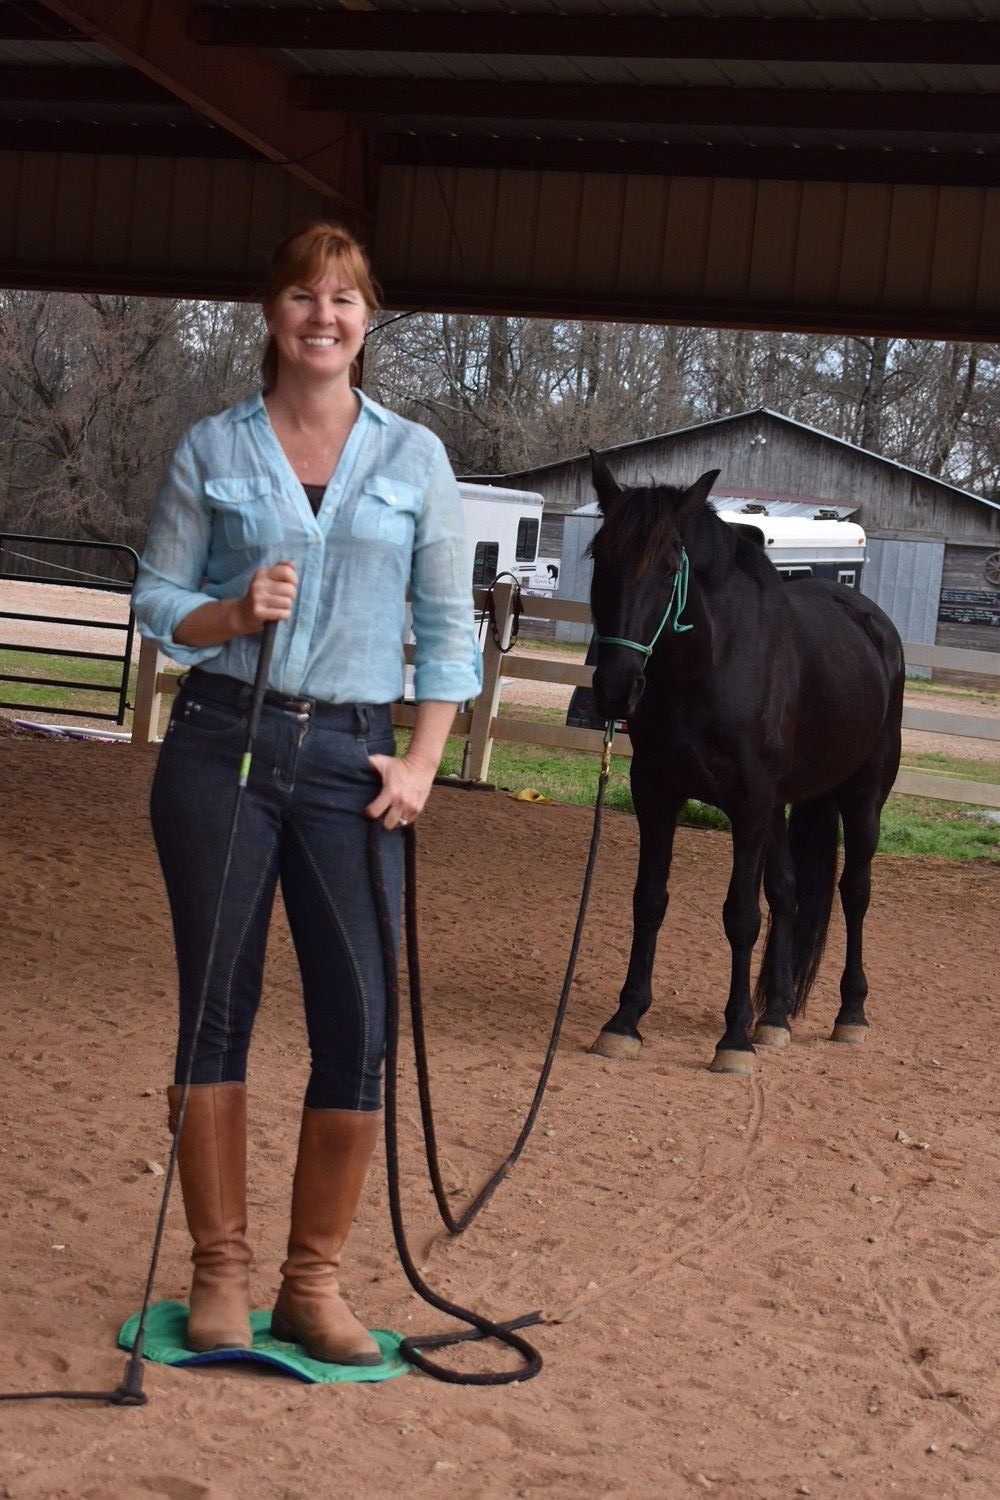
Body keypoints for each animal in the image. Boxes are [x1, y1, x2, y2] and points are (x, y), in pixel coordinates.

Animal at [586, 452, 904, 1075]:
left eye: (670, 569)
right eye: (599, 557)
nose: (614, 688)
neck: (709, 667)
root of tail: (872, 621)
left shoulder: (750, 806)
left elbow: (740, 915)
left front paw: (732, 1039)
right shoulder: (655, 794)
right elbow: (649, 899)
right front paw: (625, 1020)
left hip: (861, 799)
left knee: (855, 892)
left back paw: (850, 1013)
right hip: (786, 807)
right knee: (788, 892)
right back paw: (775, 1016)